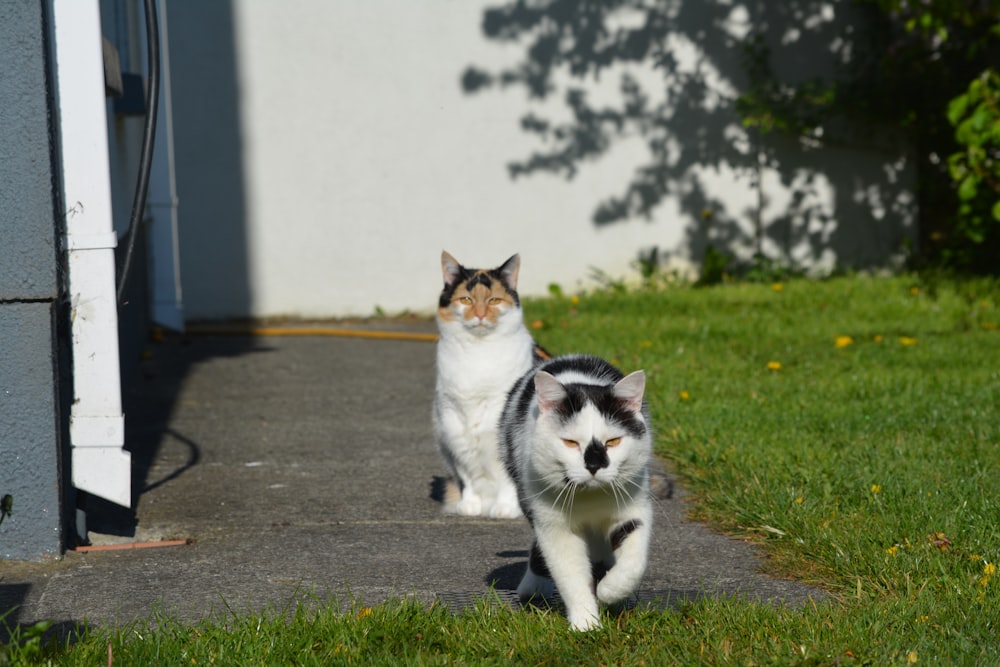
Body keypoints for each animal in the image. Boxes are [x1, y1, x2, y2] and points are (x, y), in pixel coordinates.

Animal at [436, 253, 552, 520]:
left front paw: (506, 508)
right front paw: (470, 504)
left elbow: (506, 475)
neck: (478, 351)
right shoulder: (454, 427)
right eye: (466, 299)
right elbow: (466, 472)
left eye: (494, 300)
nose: (479, 315)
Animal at [500, 354, 656, 632]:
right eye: (570, 443)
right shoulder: (555, 526)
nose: (594, 465)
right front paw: (586, 625)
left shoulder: (633, 509)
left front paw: (610, 591)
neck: (590, 498)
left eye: (613, 441)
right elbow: (571, 575)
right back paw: (533, 586)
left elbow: (634, 562)